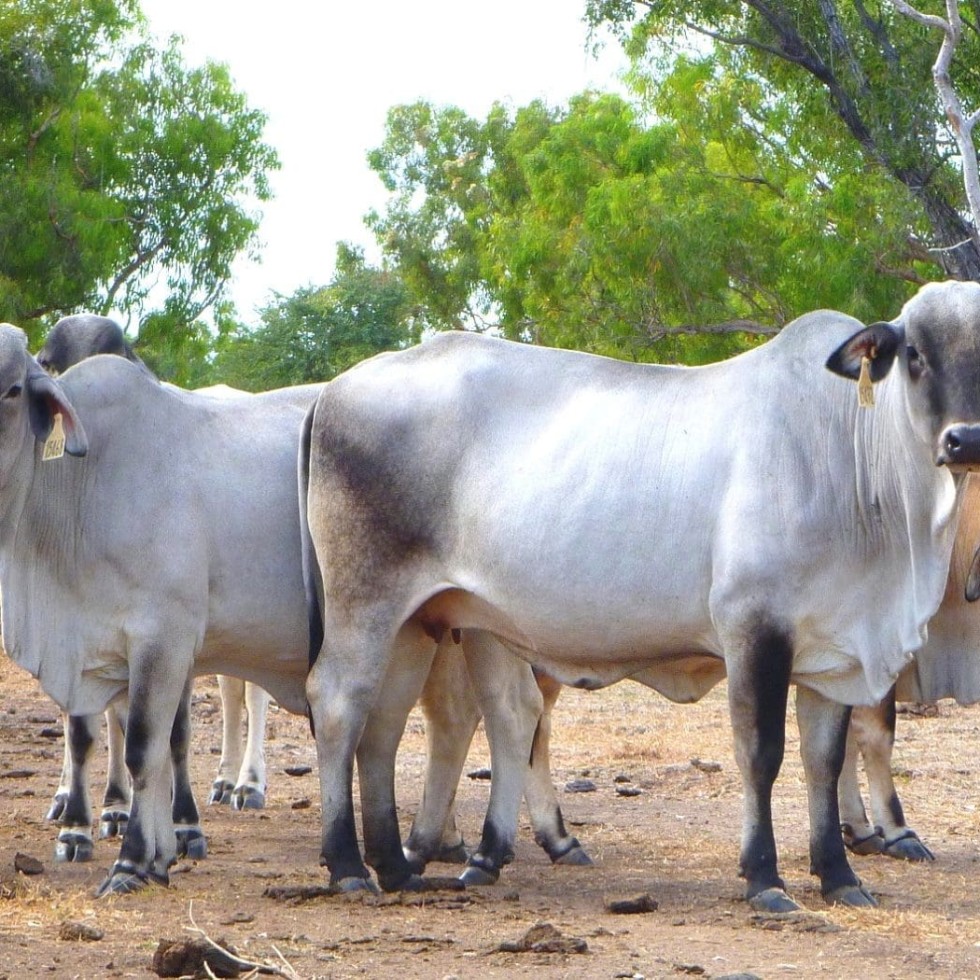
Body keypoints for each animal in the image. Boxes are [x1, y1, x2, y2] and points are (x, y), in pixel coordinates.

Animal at [304, 282, 980, 912]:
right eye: (914, 354)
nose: (964, 439)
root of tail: (336, 388)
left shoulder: (835, 650)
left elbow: (823, 759)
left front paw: (839, 875)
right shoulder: (754, 628)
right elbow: (761, 753)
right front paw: (763, 878)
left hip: (423, 621)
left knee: (394, 721)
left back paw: (397, 867)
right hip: (365, 601)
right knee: (339, 702)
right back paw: (348, 866)